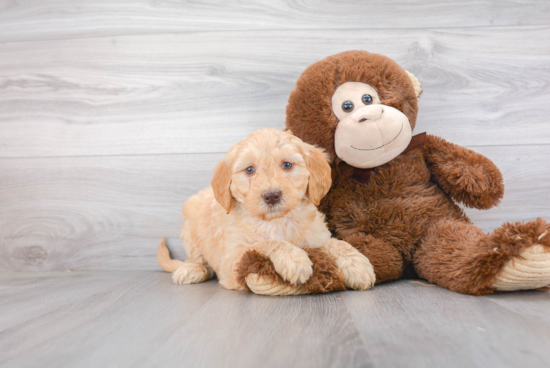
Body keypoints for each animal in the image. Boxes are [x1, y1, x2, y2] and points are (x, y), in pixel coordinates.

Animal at [157, 129, 378, 290]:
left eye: (287, 165)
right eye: (249, 170)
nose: (271, 195)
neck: (277, 221)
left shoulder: (316, 236)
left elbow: (336, 243)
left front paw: (358, 264)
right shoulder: (232, 261)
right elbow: (264, 243)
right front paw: (294, 258)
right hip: (191, 227)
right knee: (197, 259)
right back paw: (191, 269)